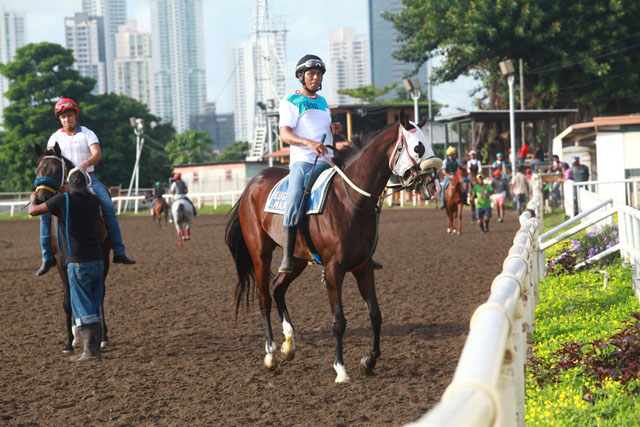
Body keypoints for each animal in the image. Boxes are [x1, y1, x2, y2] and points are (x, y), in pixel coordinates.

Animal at [33, 144, 112, 354]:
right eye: (37, 170)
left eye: (55, 170)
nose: (41, 198)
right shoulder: (62, 261)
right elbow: (68, 301)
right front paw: (69, 342)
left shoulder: (96, 257)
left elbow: (95, 295)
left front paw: (98, 337)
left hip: (105, 256)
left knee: (100, 294)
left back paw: (103, 336)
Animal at [224, 113, 440, 382]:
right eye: (418, 147)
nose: (435, 186)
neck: (349, 201)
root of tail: (251, 184)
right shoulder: (334, 269)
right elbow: (339, 321)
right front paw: (340, 368)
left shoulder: (363, 266)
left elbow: (376, 315)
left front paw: (369, 360)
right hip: (260, 255)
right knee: (264, 298)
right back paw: (271, 354)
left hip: (296, 259)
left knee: (278, 289)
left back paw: (289, 345)